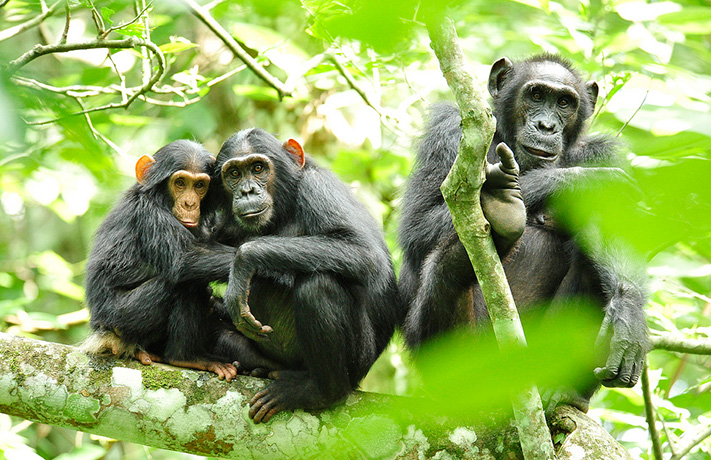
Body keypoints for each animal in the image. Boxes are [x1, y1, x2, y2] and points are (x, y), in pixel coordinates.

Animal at [85, 140, 280, 380]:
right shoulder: (149, 214)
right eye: (179, 183)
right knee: (186, 281)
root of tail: (102, 332)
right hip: (121, 319)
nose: (189, 203)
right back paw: (187, 357)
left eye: (199, 185)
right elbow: (185, 257)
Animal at [211, 127, 404, 422]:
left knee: (318, 285)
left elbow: (365, 252)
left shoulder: (319, 189)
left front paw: (244, 260)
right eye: (233, 174)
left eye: (258, 168)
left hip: (358, 362)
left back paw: (319, 392)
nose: (247, 190)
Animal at [400, 54, 652, 410]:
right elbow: (418, 224)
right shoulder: (446, 130)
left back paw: (561, 390)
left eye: (564, 102)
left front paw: (629, 317)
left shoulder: (603, 152)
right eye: (535, 95)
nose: (546, 126)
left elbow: (616, 227)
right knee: (446, 270)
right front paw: (581, 181)